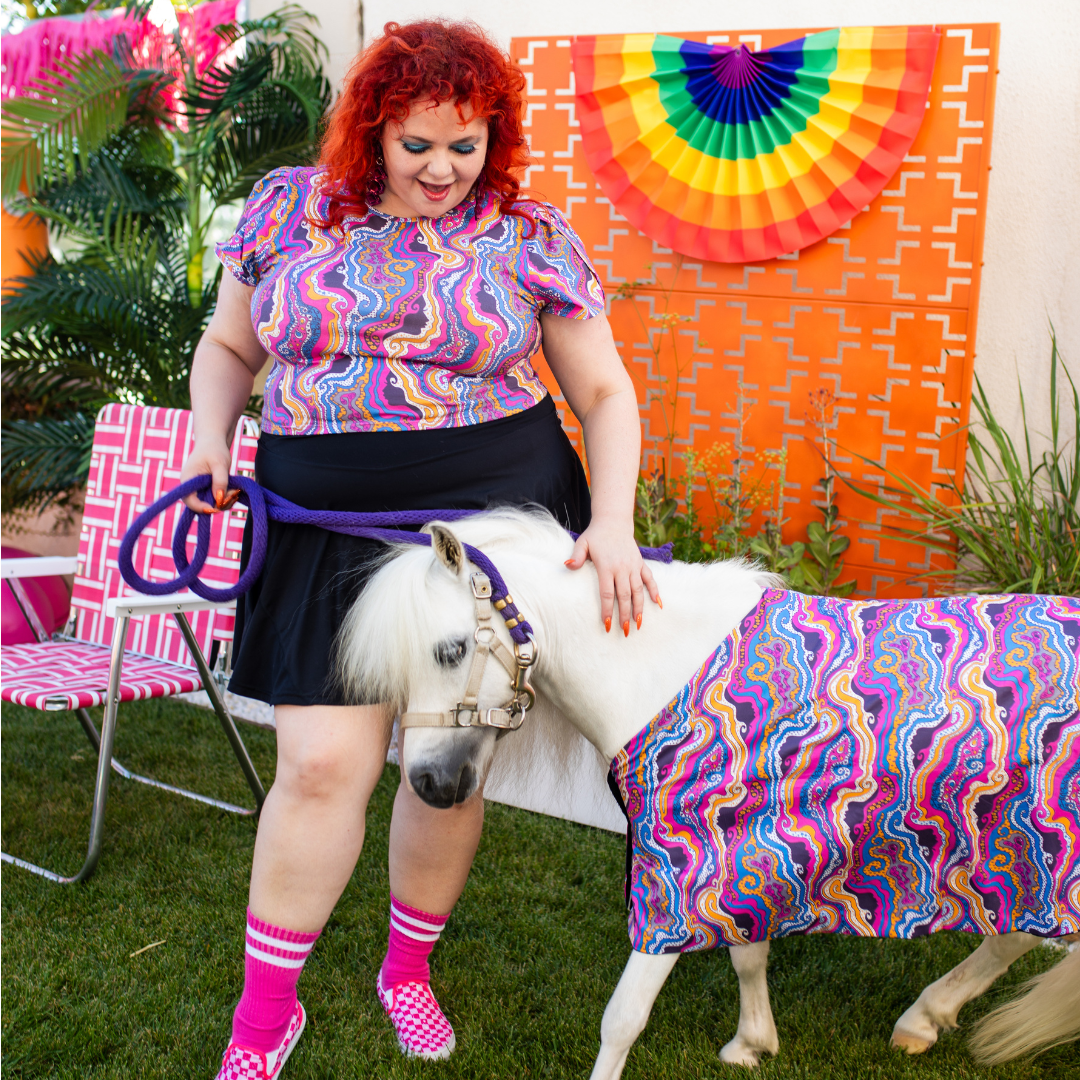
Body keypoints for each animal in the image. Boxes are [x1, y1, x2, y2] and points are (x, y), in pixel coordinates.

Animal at [339, 507, 1080, 1071]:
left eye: (450, 650)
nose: (429, 783)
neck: (658, 670)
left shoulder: (678, 878)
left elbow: (623, 1017)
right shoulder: (739, 854)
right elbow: (748, 954)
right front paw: (752, 1043)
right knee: (1012, 939)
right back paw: (924, 1018)